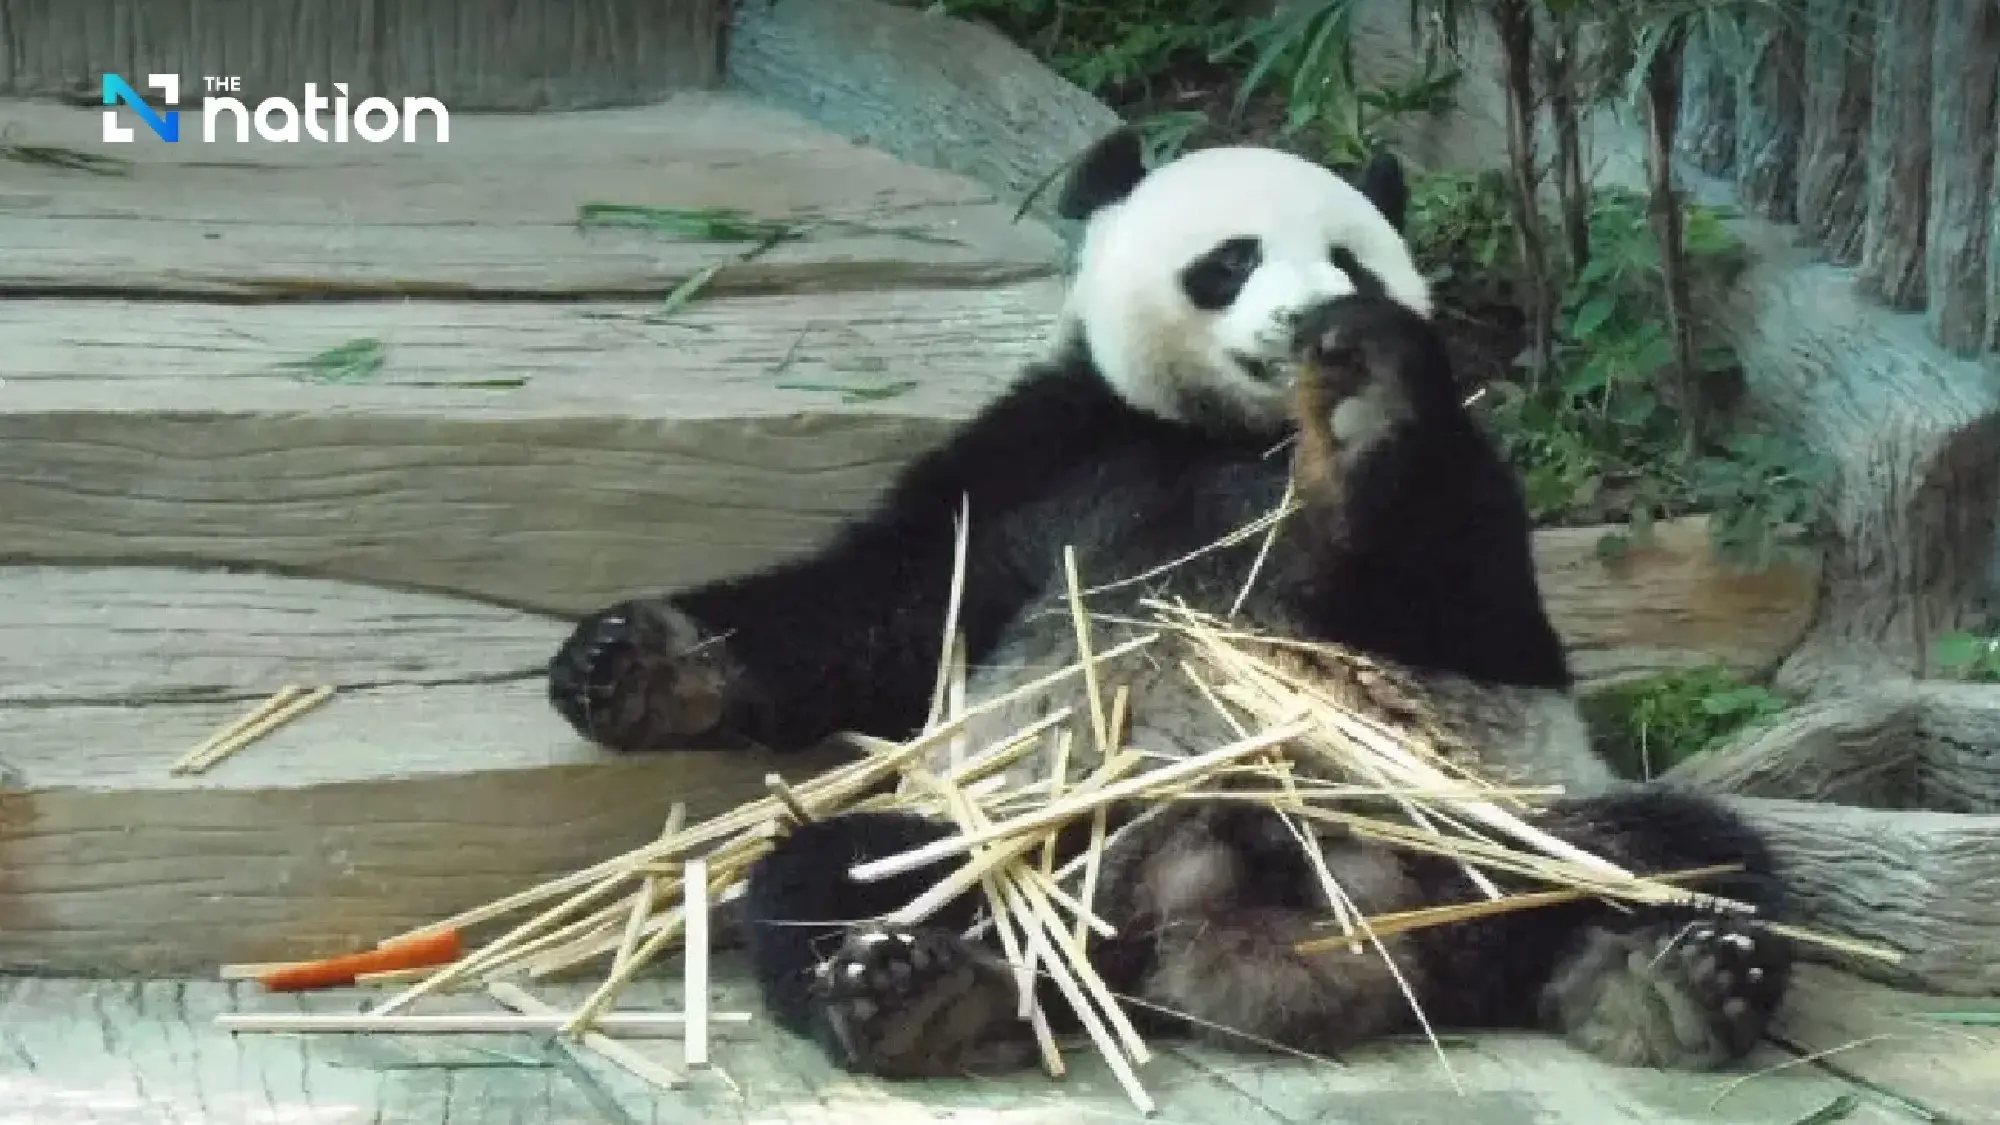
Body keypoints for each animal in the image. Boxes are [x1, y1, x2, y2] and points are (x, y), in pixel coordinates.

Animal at [546, 126, 1794, 1080]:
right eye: (1231, 259)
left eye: (1350, 262)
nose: (1313, 320)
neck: (1227, 434)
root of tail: (1239, 927)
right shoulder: (1038, 459)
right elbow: (872, 608)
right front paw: (623, 666)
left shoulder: (1473, 499)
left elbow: (1468, 607)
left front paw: (1369, 394)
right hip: (1028, 837)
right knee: (839, 873)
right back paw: (915, 991)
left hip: (1487, 824)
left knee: (1678, 856)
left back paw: (1667, 978)